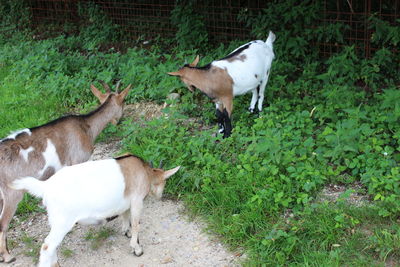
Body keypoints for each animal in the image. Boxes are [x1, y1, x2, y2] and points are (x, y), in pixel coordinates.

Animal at [0, 80, 132, 262]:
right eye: (124, 102)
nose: (120, 120)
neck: (87, 127)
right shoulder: (78, 160)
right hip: (11, 192)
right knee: (3, 223)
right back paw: (7, 256)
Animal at [10, 155, 180, 267]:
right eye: (164, 182)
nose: (160, 195)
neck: (145, 172)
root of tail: (45, 186)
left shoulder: (126, 202)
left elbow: (125, 215)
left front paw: (126, 231)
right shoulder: (137, 200)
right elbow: (136, 223)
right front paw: (137, 249)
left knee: (52, 247)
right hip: (62, 222)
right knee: (47, 247)